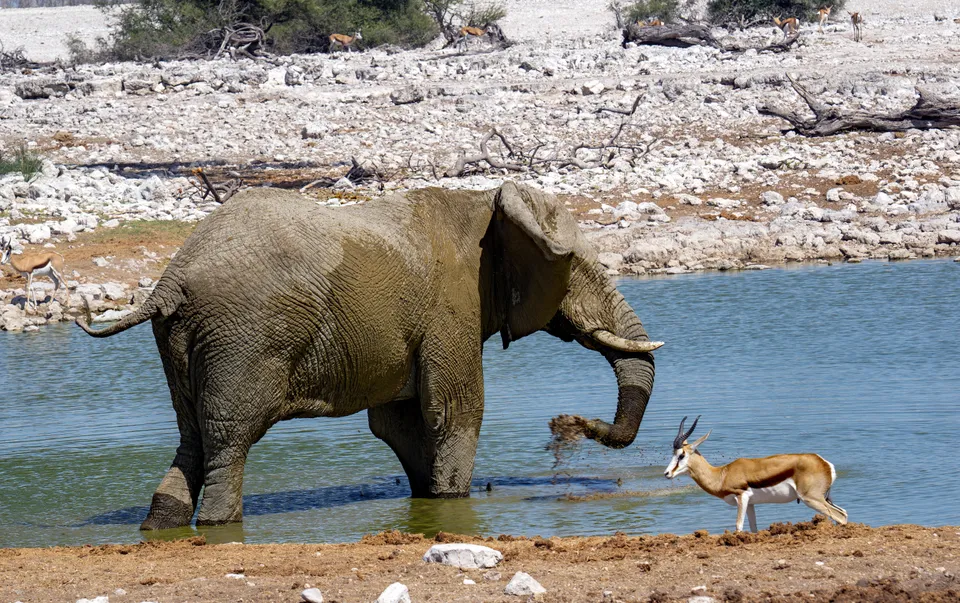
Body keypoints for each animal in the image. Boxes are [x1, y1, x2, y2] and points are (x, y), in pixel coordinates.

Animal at [77, 182, 660, 530]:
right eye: (577, 266)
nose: (576, 424)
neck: (485, 203)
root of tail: (170, 279)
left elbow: (399, 422)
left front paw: (430, 502)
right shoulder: (452, 306)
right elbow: (456, 411)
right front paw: (455, 500)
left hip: (185, 339)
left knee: (192, 435)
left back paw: (161, 525)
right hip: (244, 338)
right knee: (230, 436)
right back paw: (220, 525)